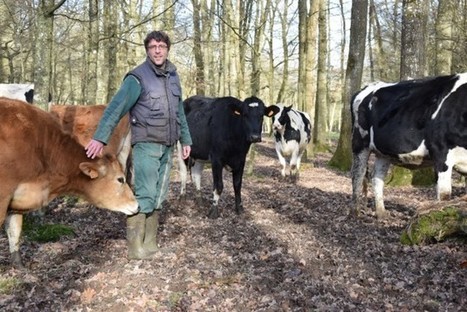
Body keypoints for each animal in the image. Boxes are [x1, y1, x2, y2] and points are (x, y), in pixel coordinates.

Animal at [0, 96, 139, 266]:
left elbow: (14, 231)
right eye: (120, 179)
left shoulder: (17, 199)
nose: (136, 204)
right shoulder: (4, 195)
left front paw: (18, 266)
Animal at [352, 73, 467, 219]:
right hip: (360, 143)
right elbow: (444, 196)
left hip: (383, 152)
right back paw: (354, 213)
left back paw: (382, 213)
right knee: (358, 175)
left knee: (377, 178)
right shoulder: (441, 152)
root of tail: (366, 87)